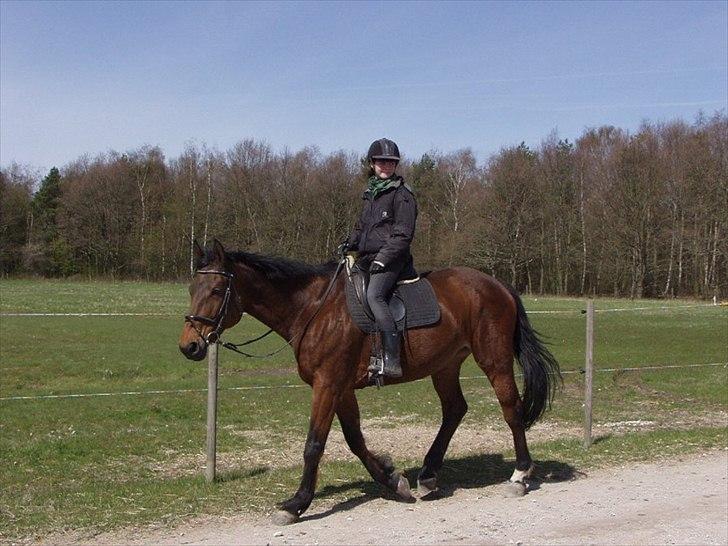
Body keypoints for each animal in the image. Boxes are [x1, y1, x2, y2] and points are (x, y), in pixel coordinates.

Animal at [179, 239, 560, 524]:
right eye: (192, 288)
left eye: (217, 289)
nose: (189, 346)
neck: (313, 309)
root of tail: (497, 285)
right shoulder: (342, 388)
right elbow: (355, 440)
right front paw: (393, 480)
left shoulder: (328, 384)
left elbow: (314, 444)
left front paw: (297, 503)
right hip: (446, 365)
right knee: (454, 409)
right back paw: (428, 475)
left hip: (493, 360)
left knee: (510, 408)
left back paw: (520, 475)